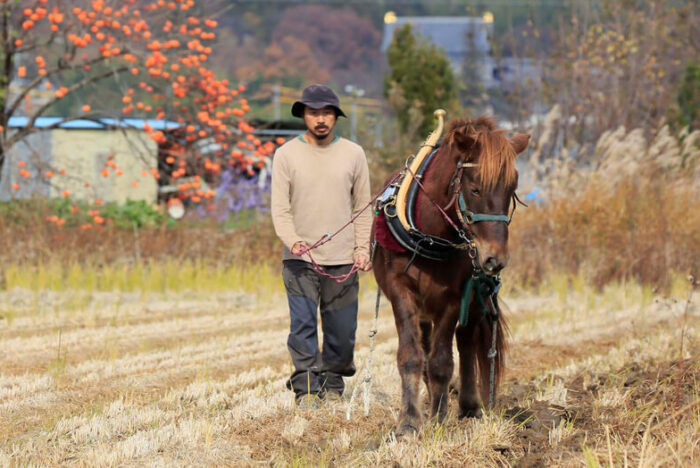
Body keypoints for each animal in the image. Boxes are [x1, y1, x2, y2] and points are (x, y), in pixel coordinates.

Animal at [372, 115, 530, 434]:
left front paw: (440, 416)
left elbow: (443, 360)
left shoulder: (455, 297)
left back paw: (468, 406)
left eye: (511, 190)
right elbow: (411, 356)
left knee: (466, 339)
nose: (495, 258)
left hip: (476, 295)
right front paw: (409, 421)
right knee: (427, 344)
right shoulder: (400, 290)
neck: (430, 235)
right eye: (476, 188)